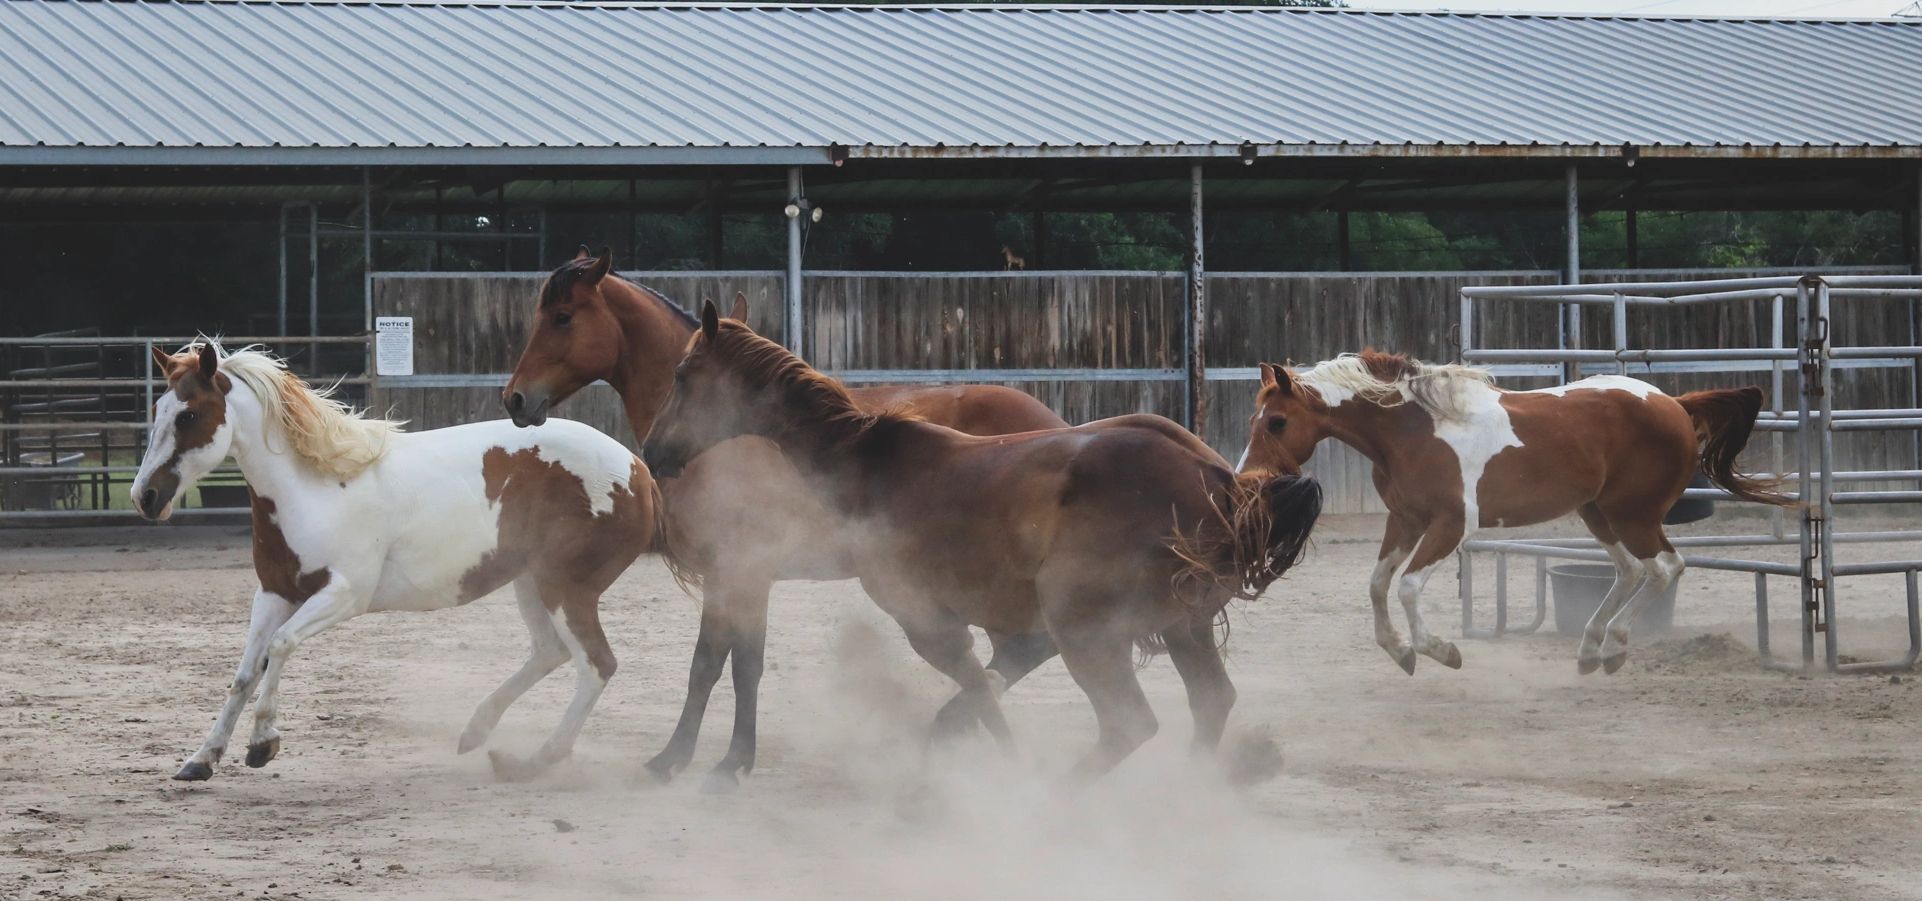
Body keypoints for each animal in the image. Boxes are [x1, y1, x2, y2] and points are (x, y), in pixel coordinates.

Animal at [129, 341, 653, 779]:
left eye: (189, 416)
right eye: (157, 410)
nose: (145, 497)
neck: (316, 487)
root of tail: (637, 471)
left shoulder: (344, 595)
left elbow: (279, 646)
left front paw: (262, 743)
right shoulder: (275, 593)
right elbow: (244, 673)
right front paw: (202, 759)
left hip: (564, 588)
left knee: (595, 665)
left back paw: (534, 760)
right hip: (531, 583)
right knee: (551, 652)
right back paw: (477, 731)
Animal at [499, 247, 1068, 787]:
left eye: (562, 317)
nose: (516, 398)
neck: (726, 436)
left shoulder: (740, 572)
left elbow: (722, 666)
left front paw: (711, 761)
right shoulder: (733, 576)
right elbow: (724, 665)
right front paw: (696, 758)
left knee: (1022, 646)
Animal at [641, 303, 1322, 772]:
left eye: (683, 374)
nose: (651, 451)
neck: (865, 463)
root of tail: (1217, 479)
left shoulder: (928, 621)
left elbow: (982, 694)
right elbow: (984, 692)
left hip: (1088, 632)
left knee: (1127, 724)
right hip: (1184, 628)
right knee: (1210, 702)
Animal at [1237, 351, 1791, 676]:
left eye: (1278, 421)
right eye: (1255, 418)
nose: (1248, 478)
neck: (1413, 430)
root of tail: (1674, 404)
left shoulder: (1451, 524)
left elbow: (1408, 586)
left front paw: (1439, 650)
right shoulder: (1405, 520)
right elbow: (1377, 585)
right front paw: (1401, 651)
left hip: (1633, 515)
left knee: (1664, 569)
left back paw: (1614, 648)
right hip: (1598, 513)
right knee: (1630, 571)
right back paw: (1589, 651)